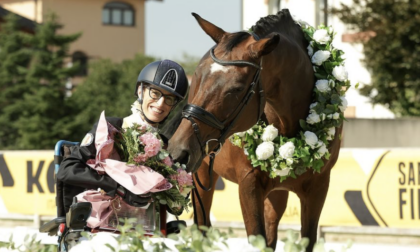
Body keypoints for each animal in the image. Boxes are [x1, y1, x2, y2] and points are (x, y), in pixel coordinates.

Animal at [169, 9, 342, 252]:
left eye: (236, 89)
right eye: (198, 77)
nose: (178, 150)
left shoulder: (318, 187)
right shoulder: (248, 183)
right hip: (201, 176)